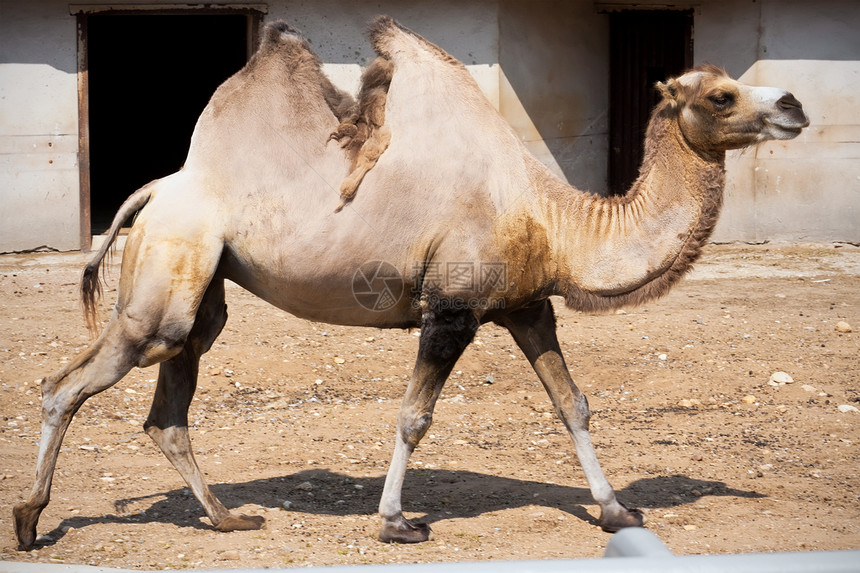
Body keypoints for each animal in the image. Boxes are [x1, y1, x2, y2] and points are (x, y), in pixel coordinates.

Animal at [11, 15, 808, 548]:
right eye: (721, 97)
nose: (795, 104)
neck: (552, 218)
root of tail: (156, 190)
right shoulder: (450, 310)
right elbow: (413, 417)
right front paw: (396, 521)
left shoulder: (528, 305)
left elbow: (573, 404)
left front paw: (616, 511)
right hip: (166, 277)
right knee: (65, 384)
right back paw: (28, 519)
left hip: (202, 286)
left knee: (169, 406)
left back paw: (228, 518)